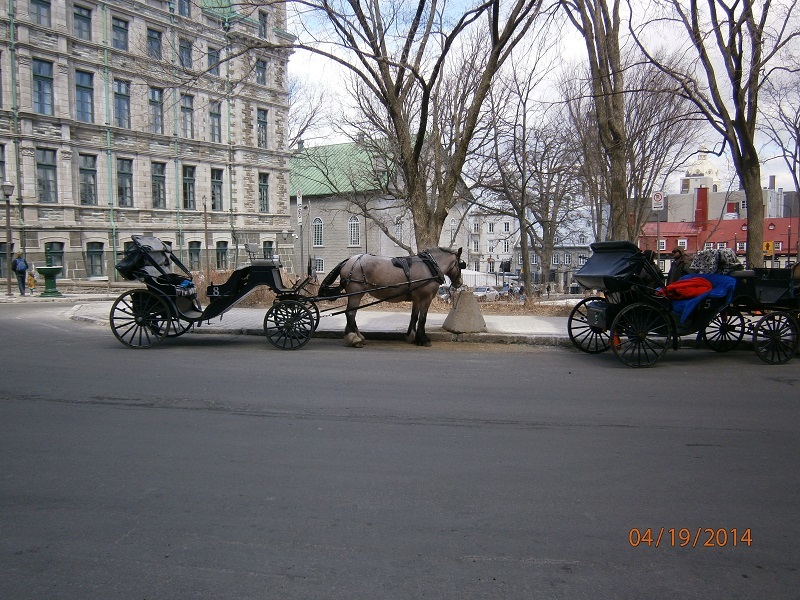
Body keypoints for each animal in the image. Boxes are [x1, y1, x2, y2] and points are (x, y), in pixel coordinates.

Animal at [318, 247, 466, 346]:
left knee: (351, 314)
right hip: (356, 294)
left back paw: (359, 336)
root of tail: (349, 260)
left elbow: (414, 316)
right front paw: (423, 339)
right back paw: (354, 339)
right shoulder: (426, 298)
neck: (429, 265)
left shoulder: (417, 299)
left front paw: (412, 336)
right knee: (350, 313)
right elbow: (423, 318)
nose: (460, 283)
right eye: (461, 265)